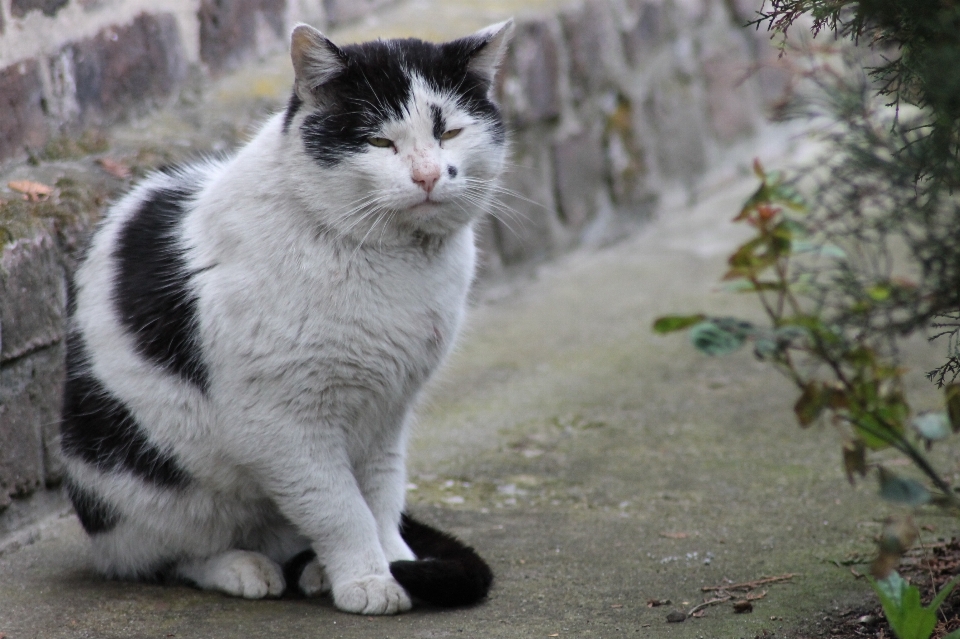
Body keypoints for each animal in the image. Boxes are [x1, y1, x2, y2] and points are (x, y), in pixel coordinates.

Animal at [57, 18, 512, 616]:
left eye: (451, 134)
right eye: (380, 142)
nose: (429, 175)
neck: (399, 263)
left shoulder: (388, 415)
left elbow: (381, 497)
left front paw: (398, 561)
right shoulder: (282, 425)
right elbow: (340, 508)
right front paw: (369, 579)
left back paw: (315, 569)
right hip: (142, 489)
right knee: (158, 559)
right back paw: (242, 567)